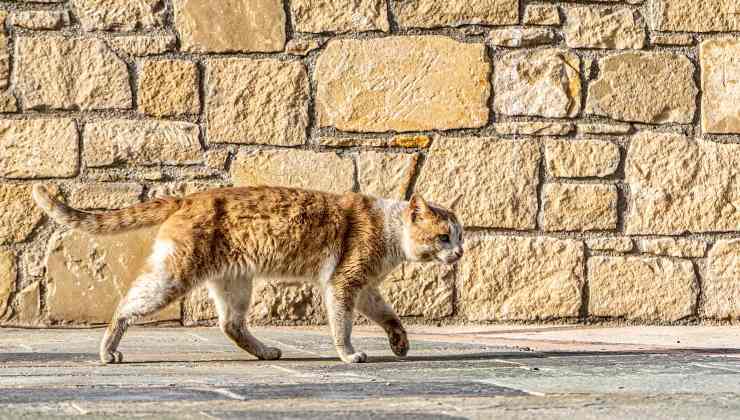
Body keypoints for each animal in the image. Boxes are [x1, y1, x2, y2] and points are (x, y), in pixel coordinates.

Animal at [34, 185, 466, 364]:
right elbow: (342, 326)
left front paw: (400, 344)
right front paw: (348, 355)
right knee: (125, 306)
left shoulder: (365, 288)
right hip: (172, 277)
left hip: (235, 284)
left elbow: (390, 316)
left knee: (231, 325)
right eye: (444, 236)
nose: (460, 252)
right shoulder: (344, 283)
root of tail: (188, 197)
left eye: (460, 236)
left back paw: (265, 352)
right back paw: (108, 351)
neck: (388, 228)